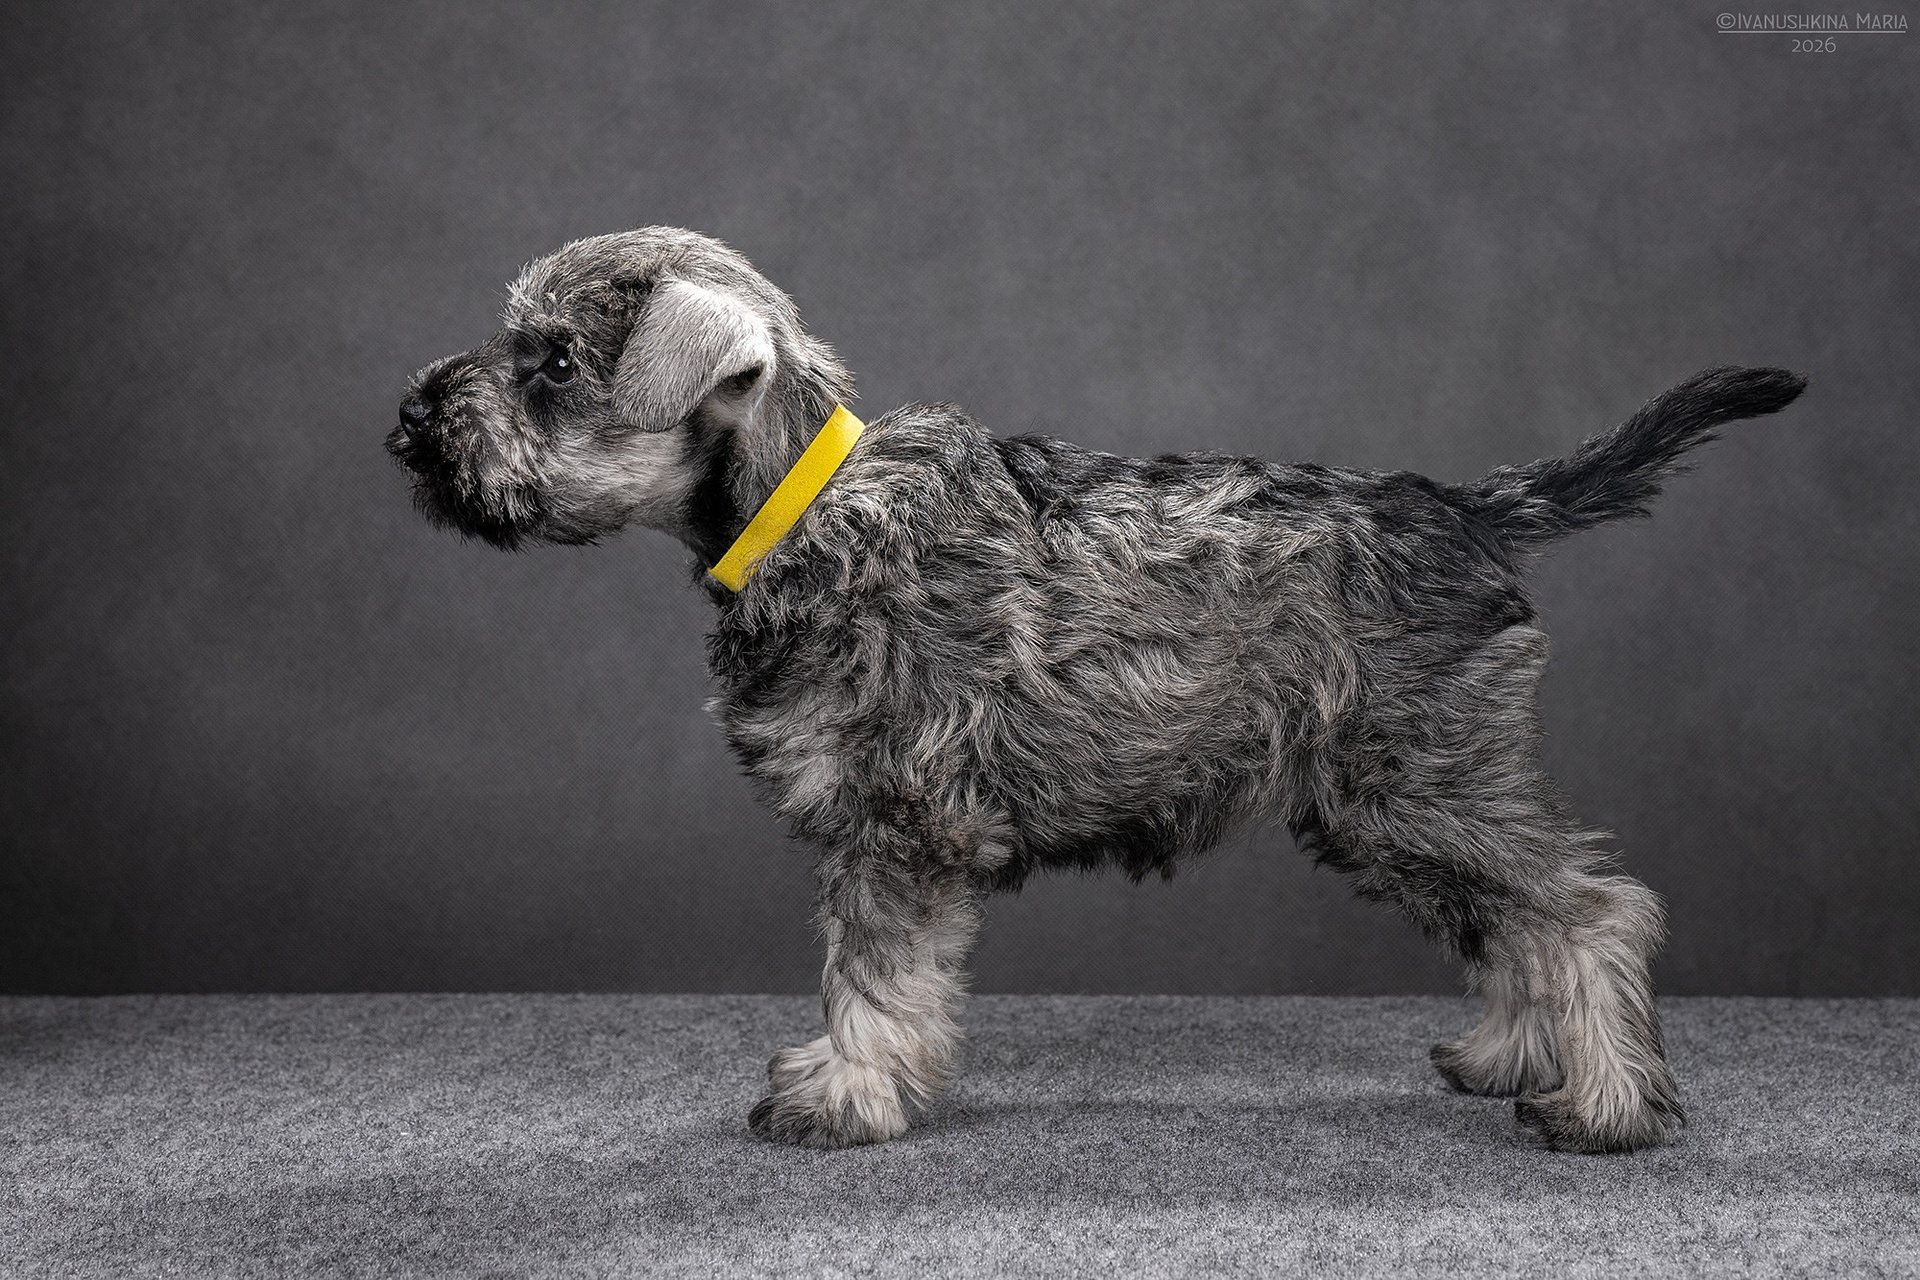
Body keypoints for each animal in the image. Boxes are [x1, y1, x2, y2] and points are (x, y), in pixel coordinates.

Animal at [387, 226, 1805, 1153]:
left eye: (554, 362)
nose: (406, 422)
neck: (803, 506)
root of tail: (1460, 508)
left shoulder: (897, 827)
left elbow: (871, 972)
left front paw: (845, 1095)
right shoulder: (873, 829)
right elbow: (861, 970)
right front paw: (842, 1077)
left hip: (1416, 783)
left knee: (1591, 908)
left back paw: (1607, 1106)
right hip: (1397, 802)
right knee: (1512, 917)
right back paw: (1514, 1054)